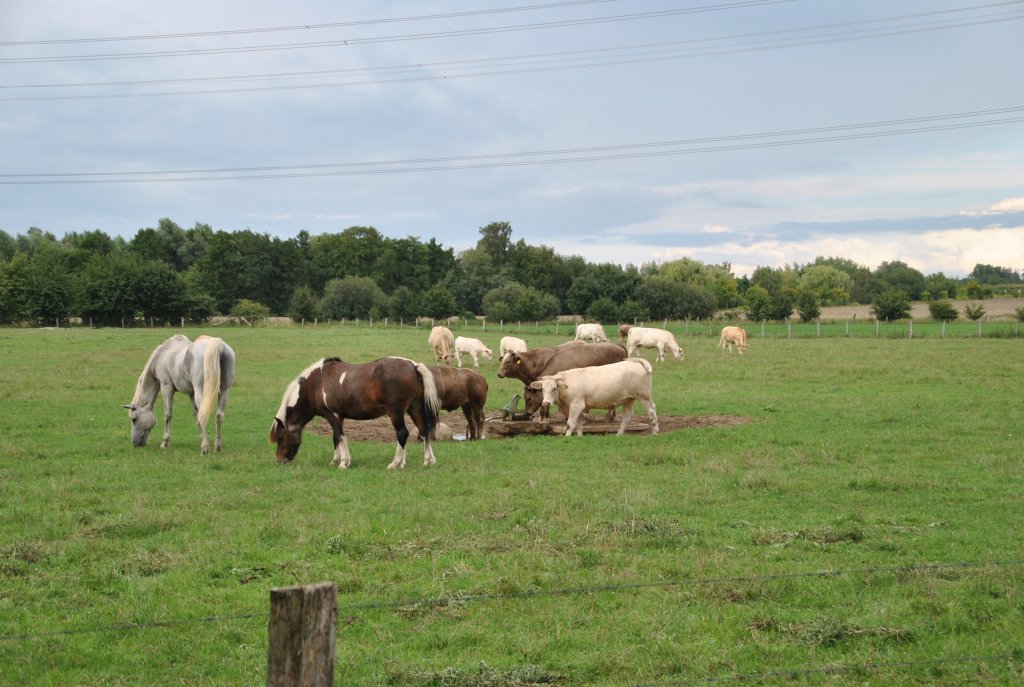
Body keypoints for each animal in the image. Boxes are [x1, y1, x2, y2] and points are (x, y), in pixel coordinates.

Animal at [268, 358, 440, 470]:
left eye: (281, 438)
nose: (279, 460)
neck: (316, 383)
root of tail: (413, 366)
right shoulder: (339, 418)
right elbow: (335, 438)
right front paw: (335, 460)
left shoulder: (333, 416)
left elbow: (340, 437)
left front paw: (344, 462)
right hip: (414, 409)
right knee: (424, 431)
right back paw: (428, 460)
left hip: (396, 413)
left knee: (402, 433)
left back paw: (395, 463)